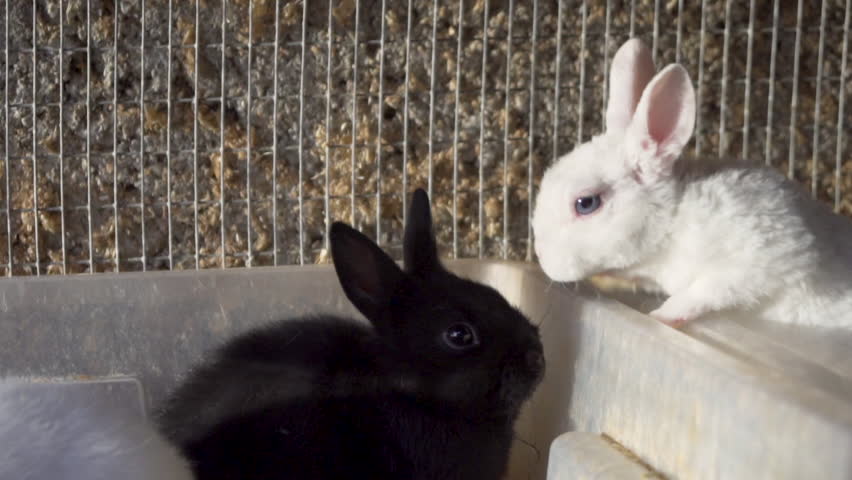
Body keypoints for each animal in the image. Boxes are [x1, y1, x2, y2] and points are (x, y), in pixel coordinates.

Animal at [533, 37, 852, 328]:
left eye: (586, 203)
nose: (544, 262)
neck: (674, 220)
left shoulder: (770, 252)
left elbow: (710, 290)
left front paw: (663, 315)